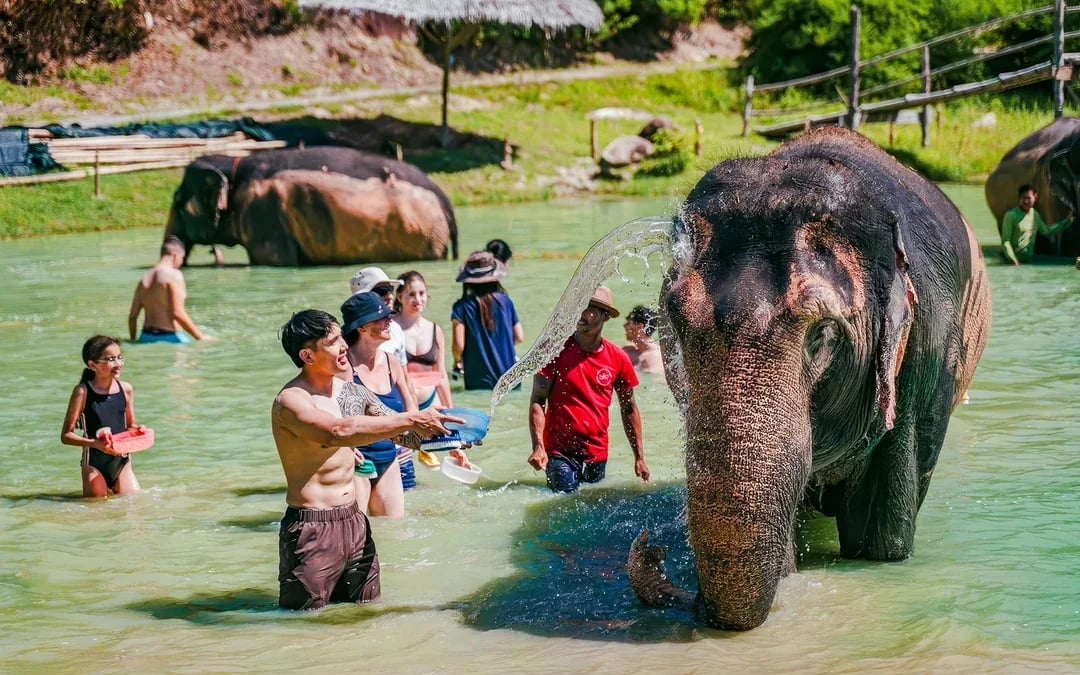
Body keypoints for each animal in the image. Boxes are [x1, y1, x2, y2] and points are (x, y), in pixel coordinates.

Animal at [165, 146, 458, 266]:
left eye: (178, 201)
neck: (233, 163)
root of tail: (446, 203)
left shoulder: (264, 216)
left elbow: (273, 260)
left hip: (423, 235)